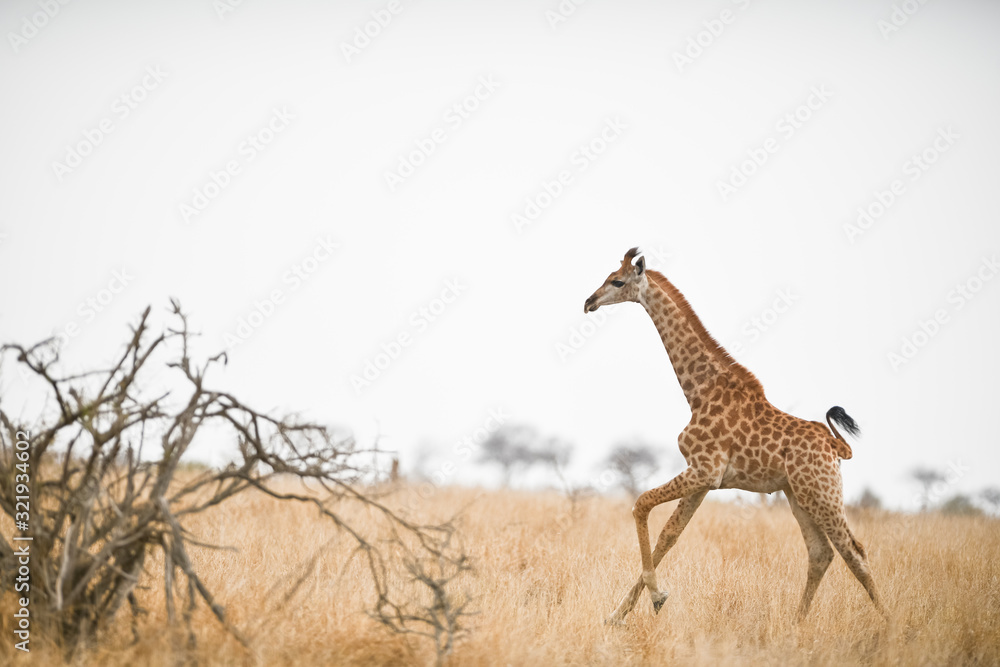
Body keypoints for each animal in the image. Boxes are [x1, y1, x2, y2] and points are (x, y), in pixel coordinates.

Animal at [583, 247, 885, 625]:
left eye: (617, 281)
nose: (589, 302)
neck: (699, 391)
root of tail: (835, 446)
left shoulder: (704, 470)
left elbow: (641, 504)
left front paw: (654, 597)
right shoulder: (703, 479)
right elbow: (669, 535)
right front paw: (619, 614)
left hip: (821, 492)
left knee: (854, 551)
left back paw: (891, 624)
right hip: (798, 494)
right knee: (820, 553)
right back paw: (795, 624)